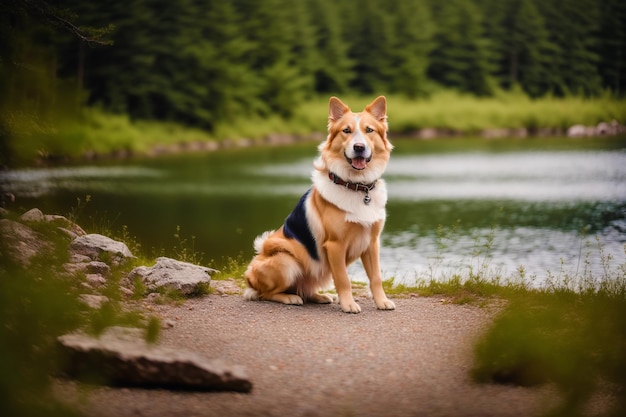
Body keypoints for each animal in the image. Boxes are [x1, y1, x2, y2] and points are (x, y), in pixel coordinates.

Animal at [241, 96, 392, 312]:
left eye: (369, 130)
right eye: (346, 130)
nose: (359, 147)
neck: (356, 186)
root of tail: (249, 277)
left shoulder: (372, 243)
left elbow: (376, 277)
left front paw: (382, 301)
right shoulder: (335, 246)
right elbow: (343, 279)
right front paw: (349, 304)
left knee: (305, 289)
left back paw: (320, 296)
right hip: (286, 260)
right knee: (266, 294)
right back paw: (289, 297)